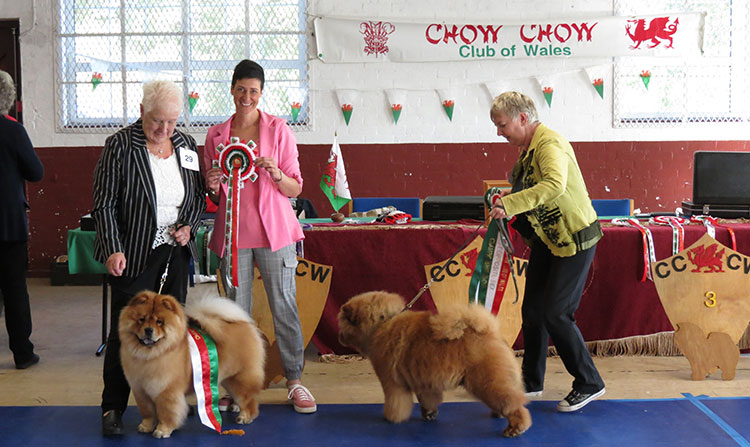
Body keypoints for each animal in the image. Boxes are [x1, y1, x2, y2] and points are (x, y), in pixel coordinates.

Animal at [119, 292, 266, 440]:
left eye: (159, 322)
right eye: (141, 319)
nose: (148, 330)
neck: (149, 356)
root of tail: (245, 324)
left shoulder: (166, 391)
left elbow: (167, 413)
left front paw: (162, 430)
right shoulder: (140, 390)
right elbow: (147, 412)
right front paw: (146, 426)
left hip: (240, 378)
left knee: (248, 400)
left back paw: (245, 417)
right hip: (228, 380)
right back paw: (236, 407)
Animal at [338, 290, 532, 438]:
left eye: (342, 322)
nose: (339, 334)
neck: (381, 324)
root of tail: (490, 332)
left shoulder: (392, 382)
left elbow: (395, 402)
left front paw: (391, 418)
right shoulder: (424, 381)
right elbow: (427, 400)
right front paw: (429, 414)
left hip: (486, 381)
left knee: (513, 403)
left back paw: (516, 428)